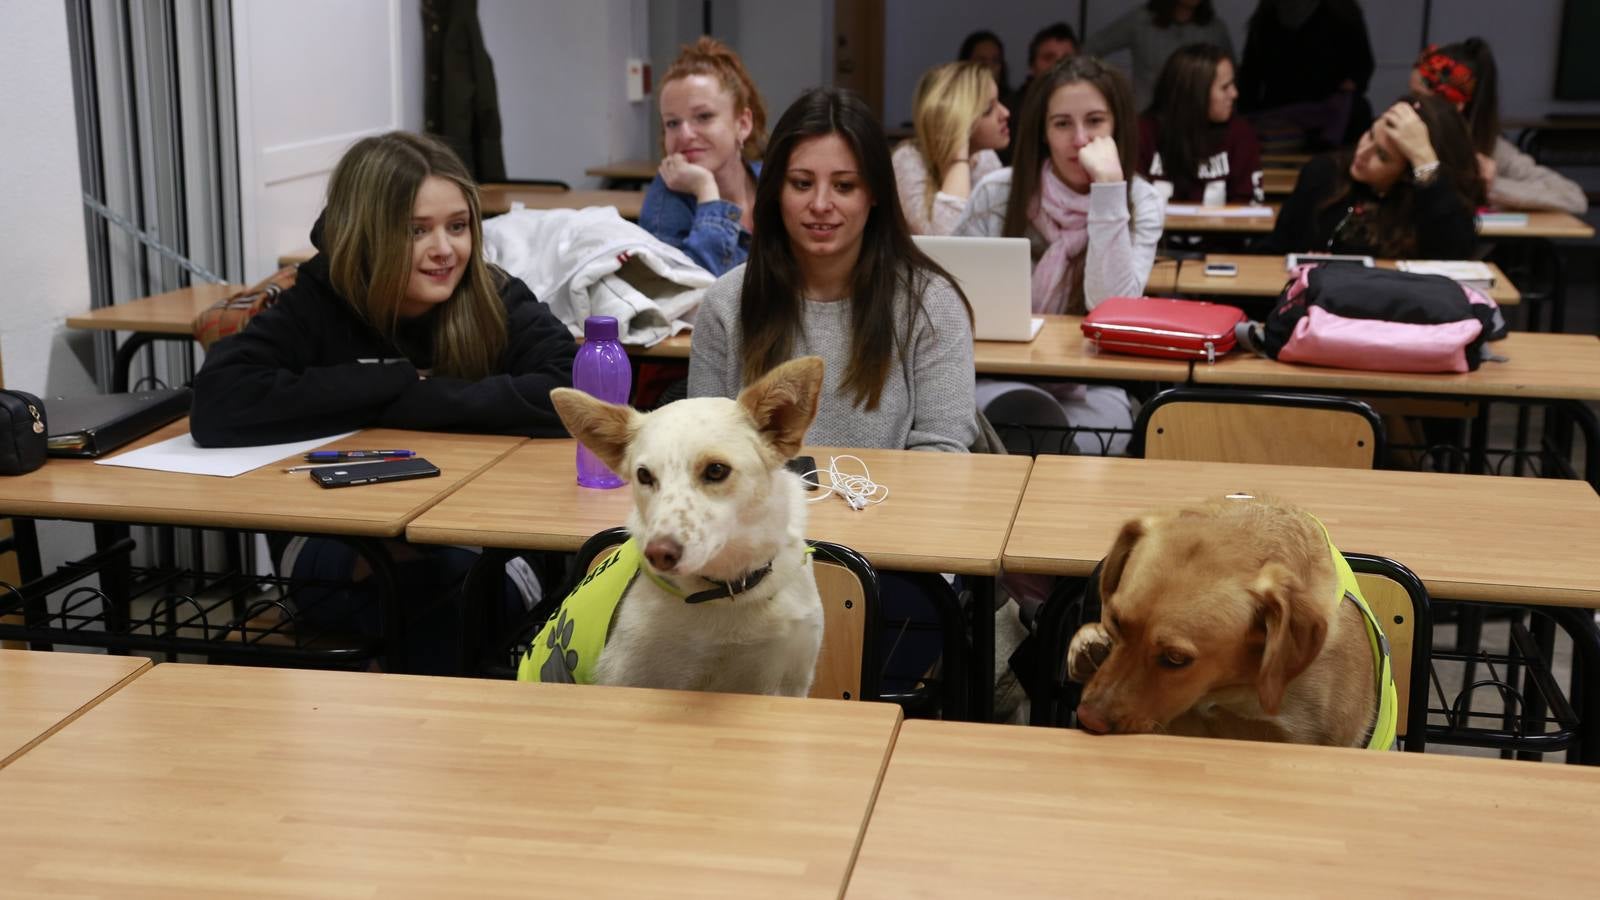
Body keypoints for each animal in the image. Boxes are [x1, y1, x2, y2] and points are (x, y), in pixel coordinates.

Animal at [521, 355, 825, 695]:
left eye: (716, 470)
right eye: (643, 475)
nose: (658, 554)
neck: (730, 593)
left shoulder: (792, 681)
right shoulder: (627, 678)